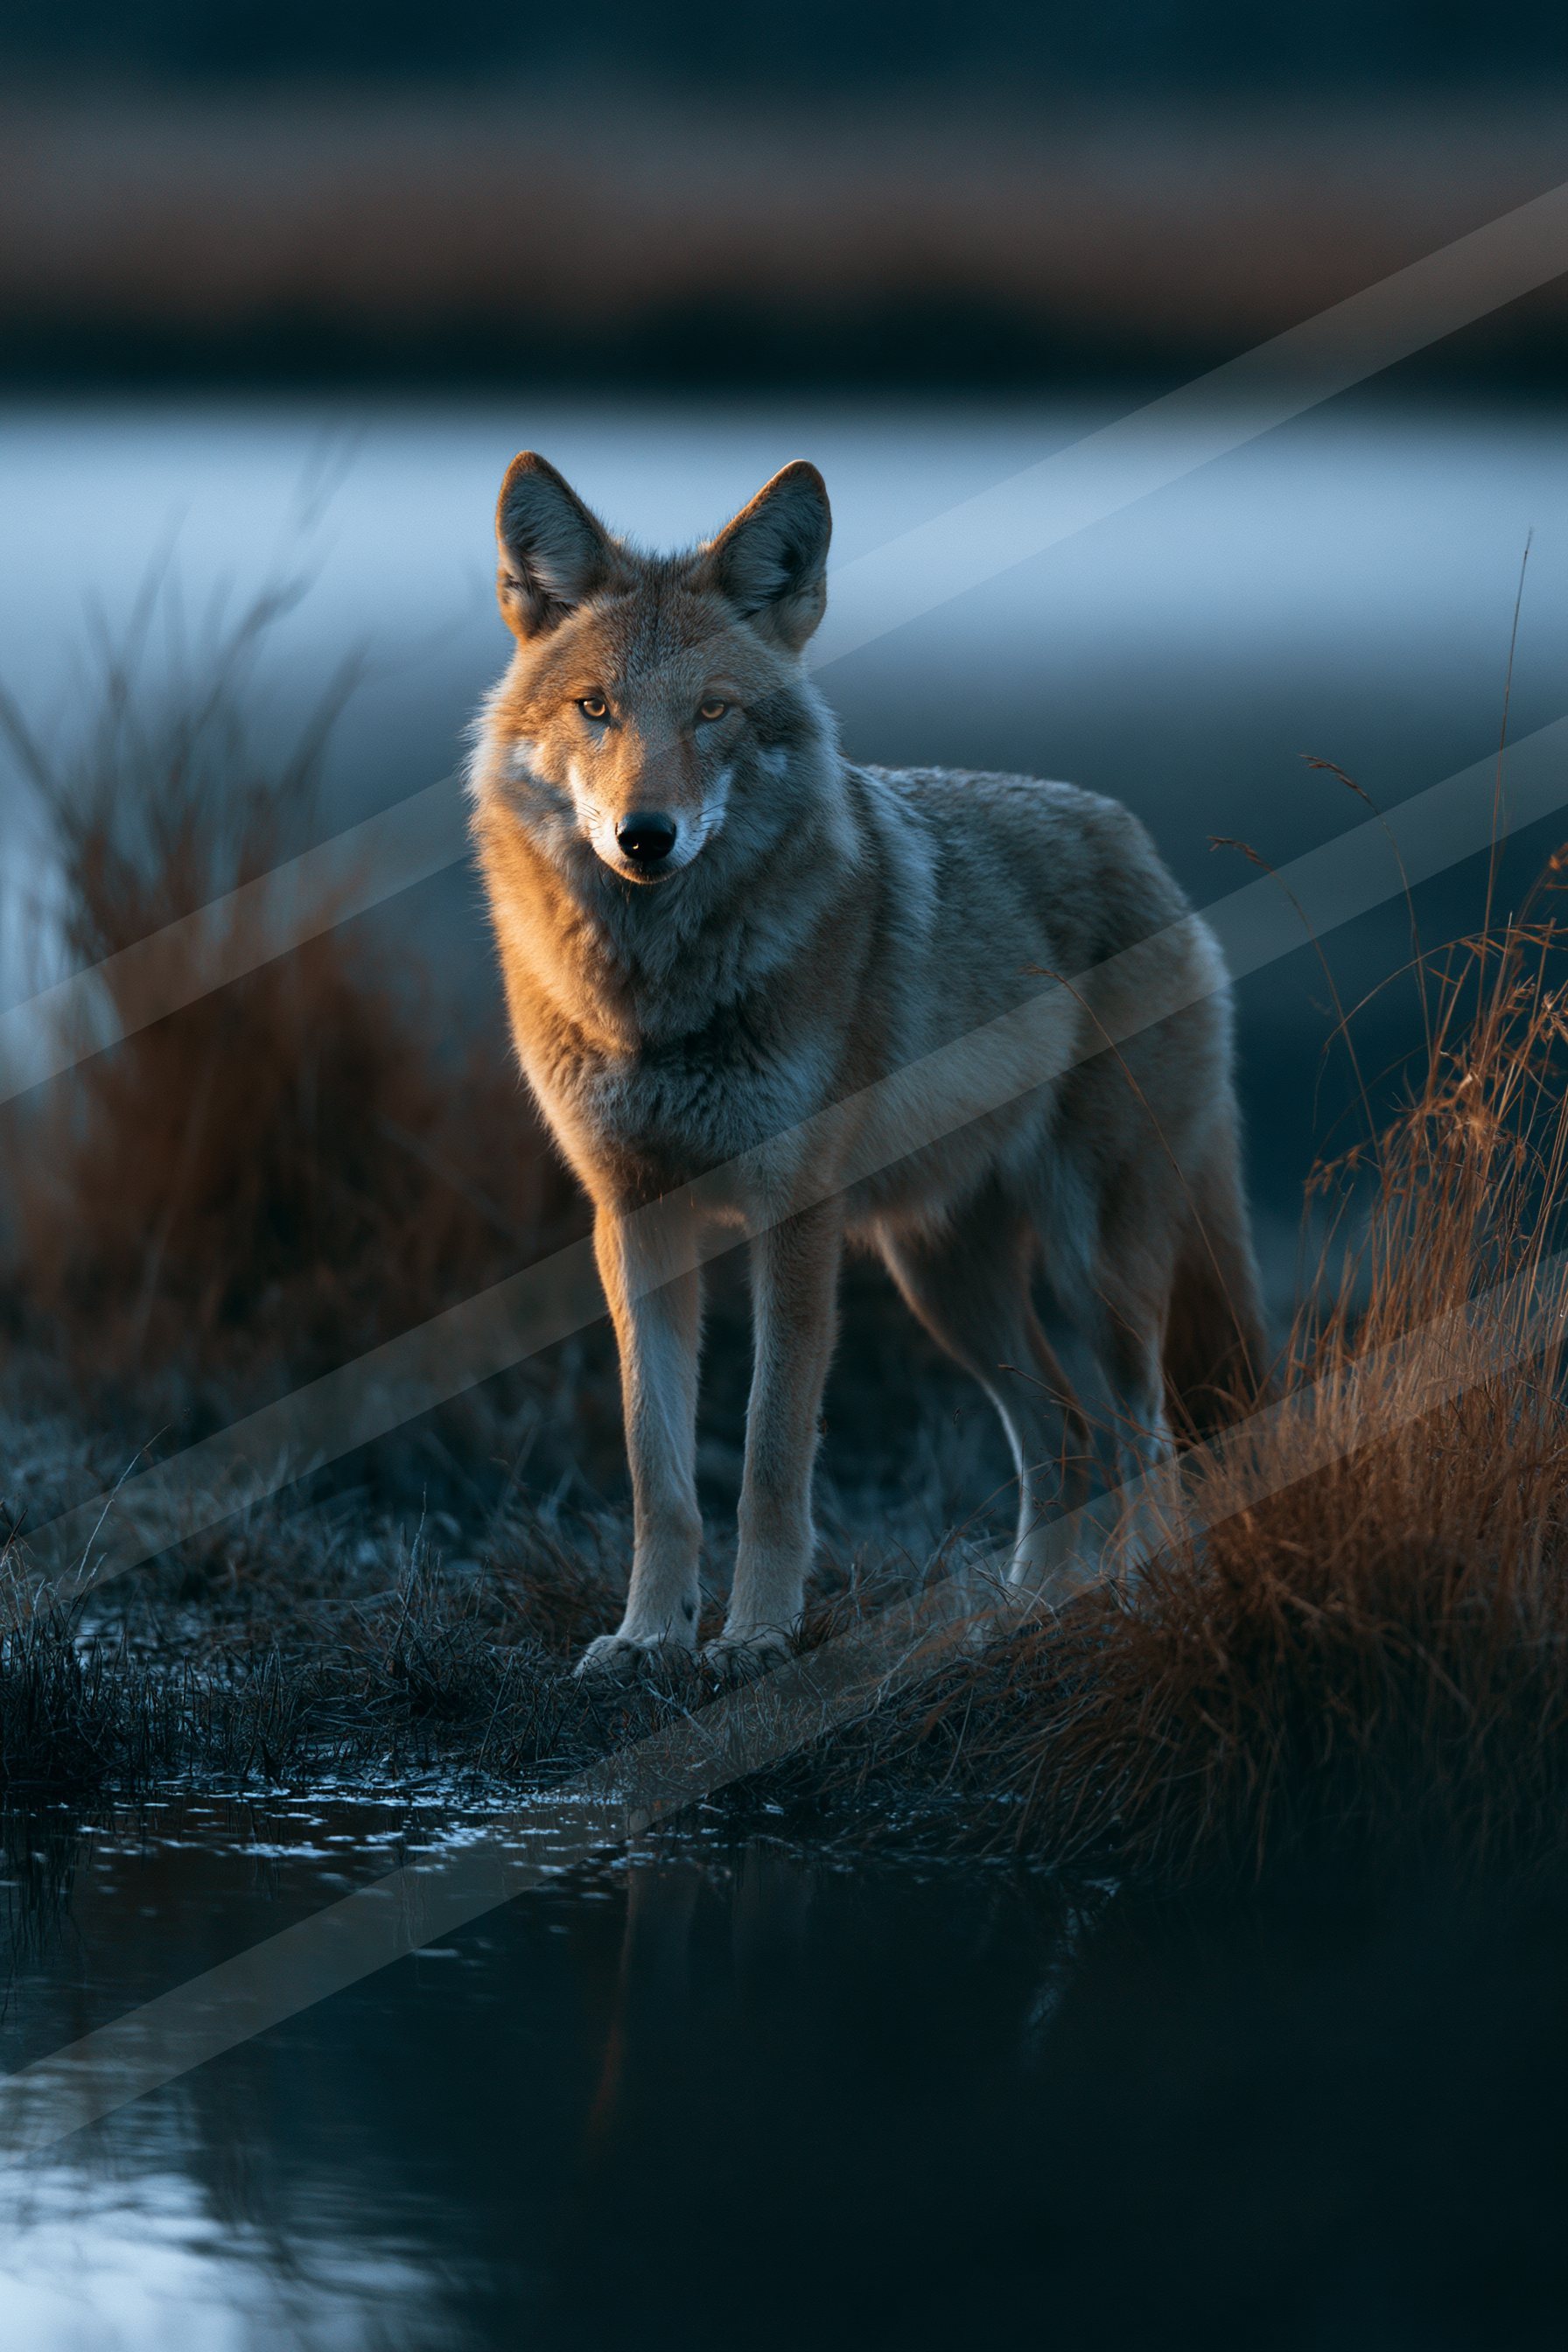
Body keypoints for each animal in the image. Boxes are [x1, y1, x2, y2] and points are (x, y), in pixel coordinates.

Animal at [469, 452, 1266, 1675]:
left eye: (713, 712)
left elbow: (767, 1458)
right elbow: (659, 1472)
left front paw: (754, 1636)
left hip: (1094, 1264)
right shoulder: (633, 1217)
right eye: (595, 708)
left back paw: (1144, 1598)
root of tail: (1140, 844)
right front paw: (647, 1638)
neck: (656, 992)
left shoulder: (792, 1219)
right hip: (942, 1281)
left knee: (1145, 1434)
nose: (646, 837)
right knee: (1066, 1437)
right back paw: (1025, 1614)